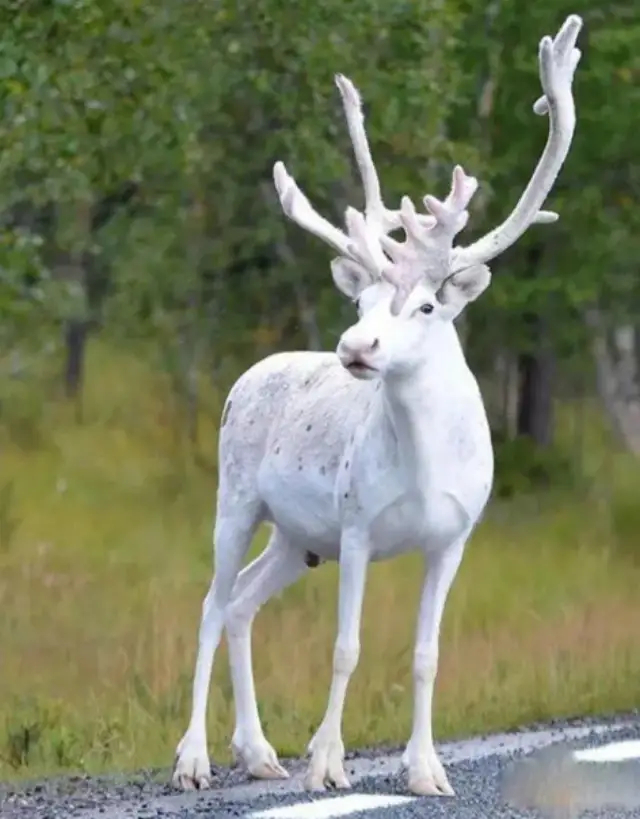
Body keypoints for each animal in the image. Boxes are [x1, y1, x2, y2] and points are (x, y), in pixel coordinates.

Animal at [172, 14, 584, 796]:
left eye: (425, 305)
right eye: (360, 302)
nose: (355, 346)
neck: (423, 465)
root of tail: (246, 376)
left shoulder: (452, 537)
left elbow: (426, 654)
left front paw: (425, 769)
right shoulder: (358, 526)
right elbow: (346, 645)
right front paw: (327, 763)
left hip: (296, 538)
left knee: (240, 602)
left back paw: (258, 750)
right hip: (235, 498)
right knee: (209, 602)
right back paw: (195, 759)